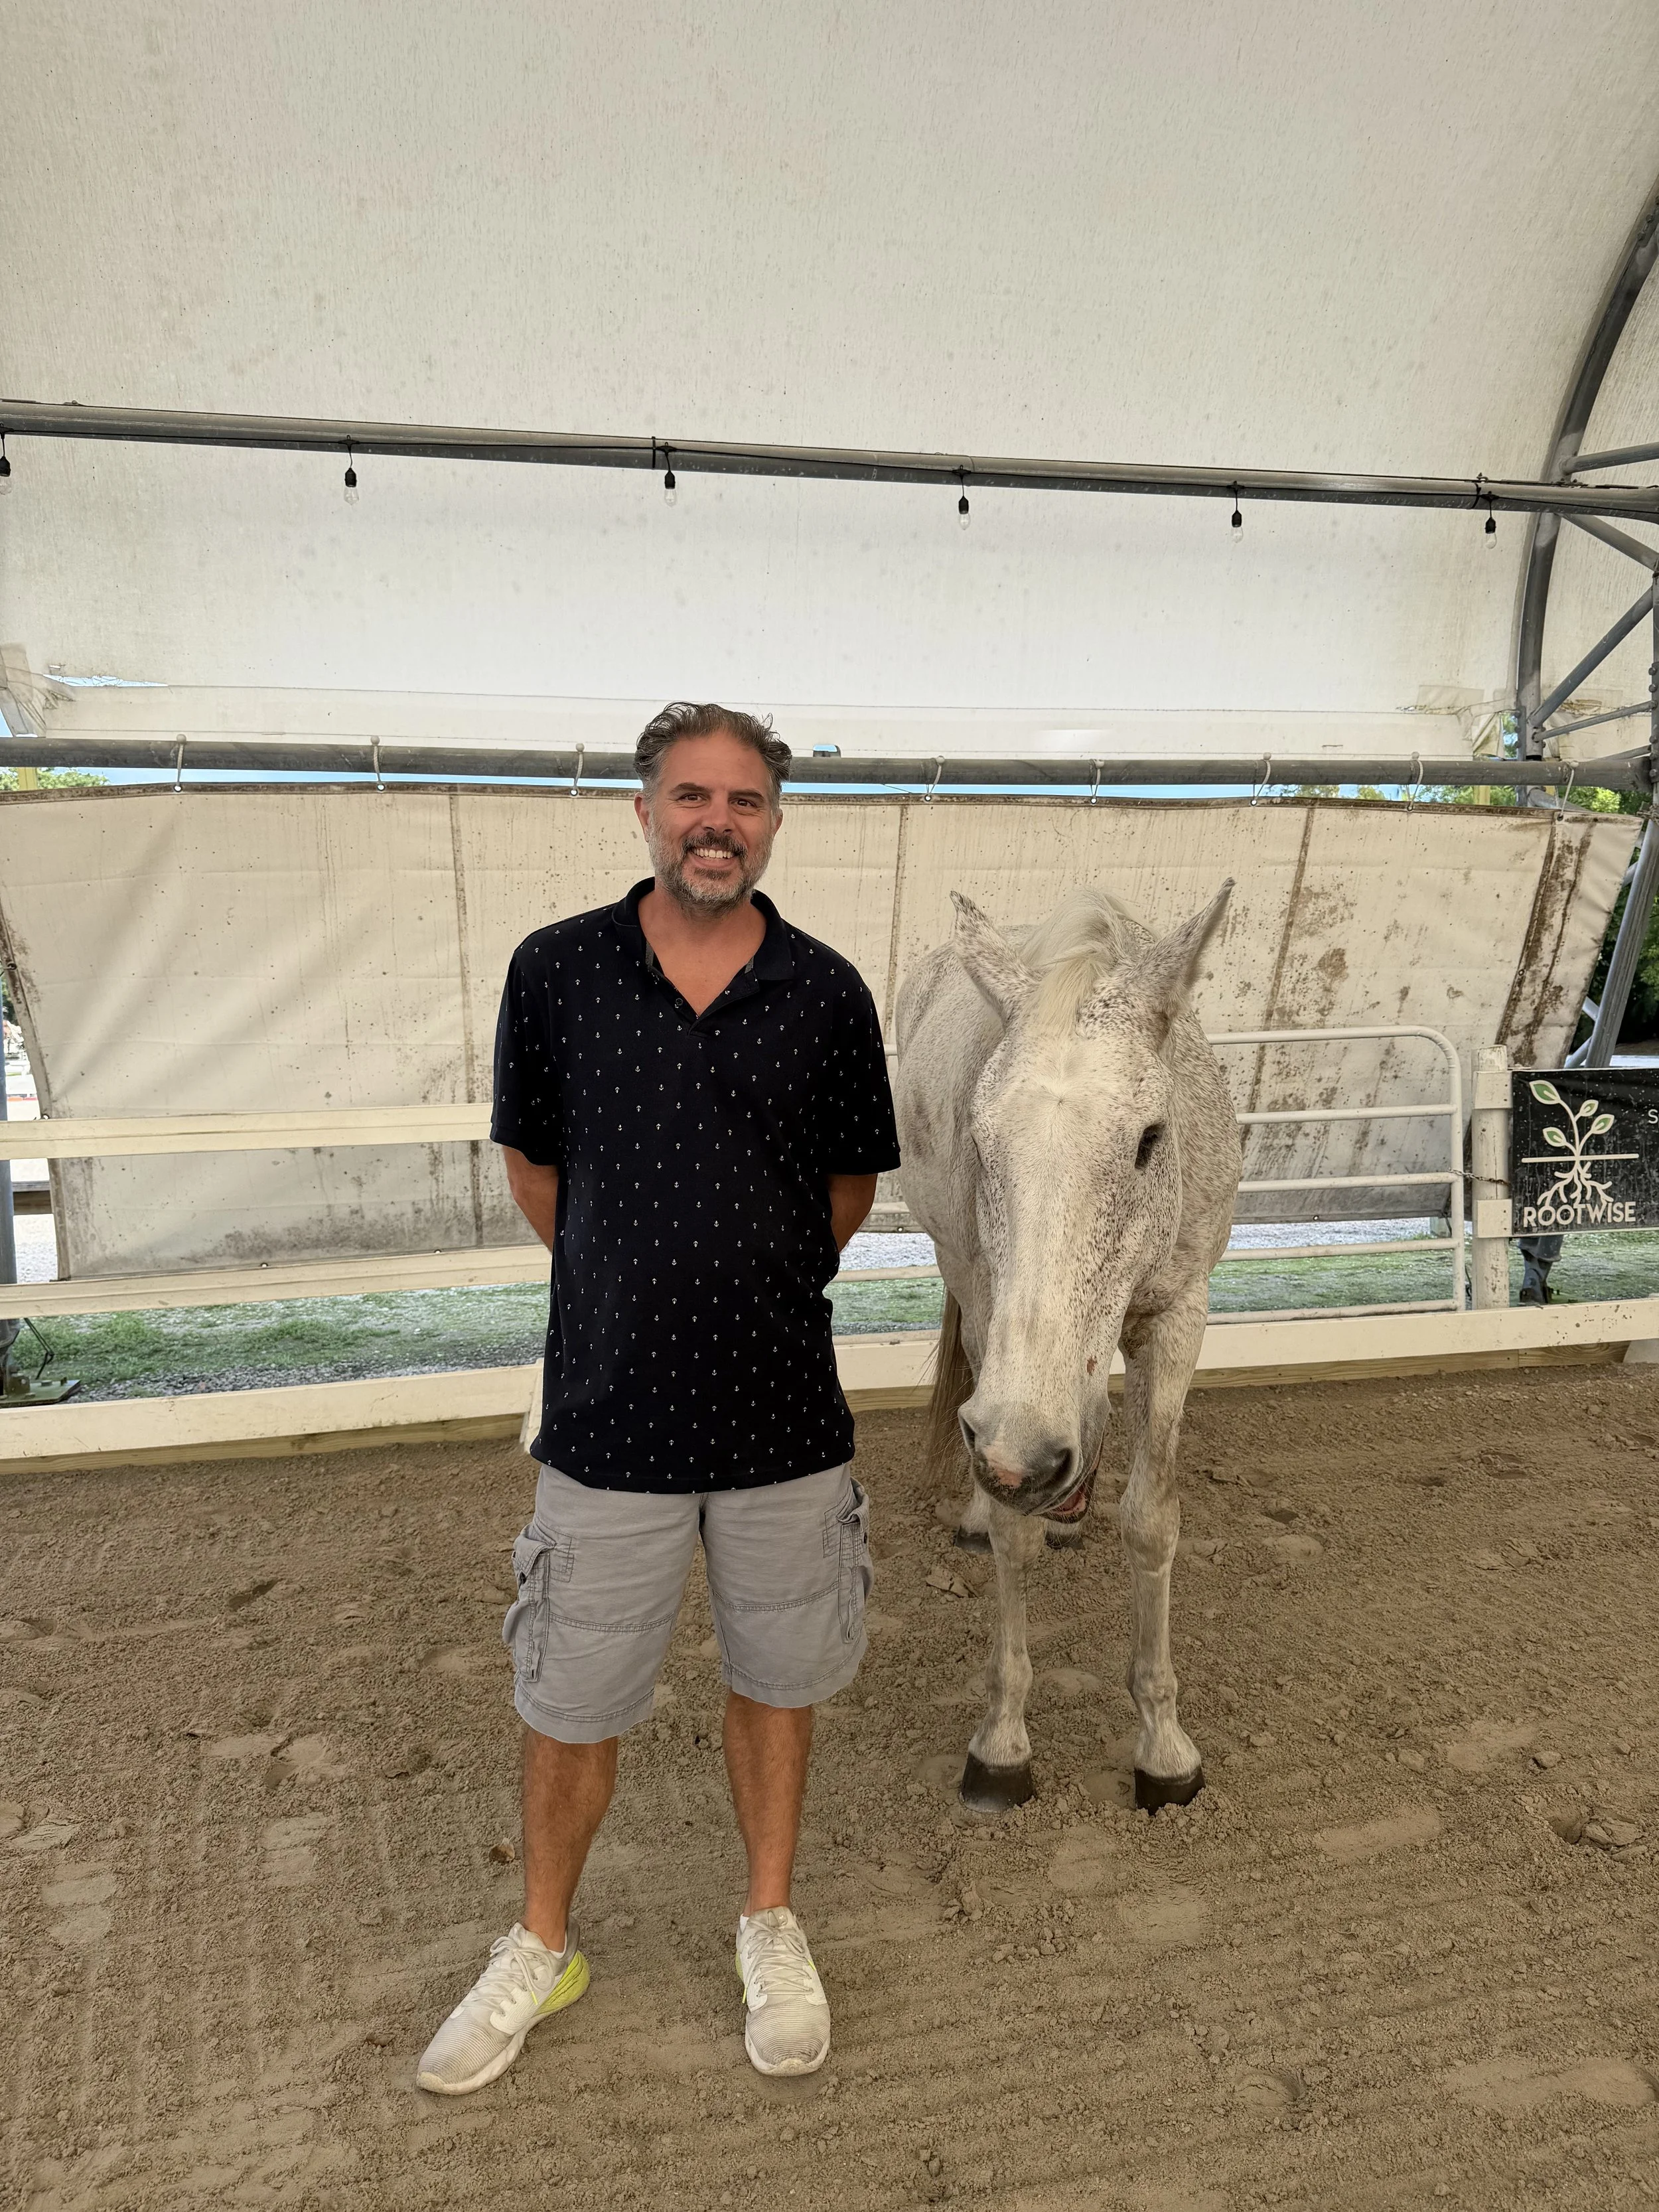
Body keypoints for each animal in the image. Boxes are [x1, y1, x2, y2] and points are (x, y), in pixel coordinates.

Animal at [893, 883, 1241, 1814]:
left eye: (1150, 1138)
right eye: (981, 1142)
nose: (1024, 1459)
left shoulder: (1179, 1318)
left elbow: (1152, 1521)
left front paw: (1163, 1748)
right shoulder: (995, 1336)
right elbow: (1013, 1538)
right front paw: (1003, 1743)